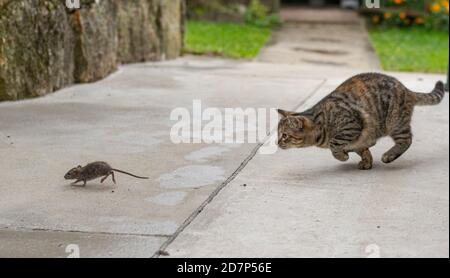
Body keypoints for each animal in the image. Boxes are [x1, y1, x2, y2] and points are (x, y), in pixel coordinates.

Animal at [278, 73, 446, 169]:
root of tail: (406, 89)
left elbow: (335, 145)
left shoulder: (351, 126)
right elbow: (363, 150)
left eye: (284, 135)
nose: (277, 143)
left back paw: (389, 155)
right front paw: (366, 162)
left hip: (395, 122)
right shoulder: (360, 139)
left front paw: (342, 156)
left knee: (407, 139)